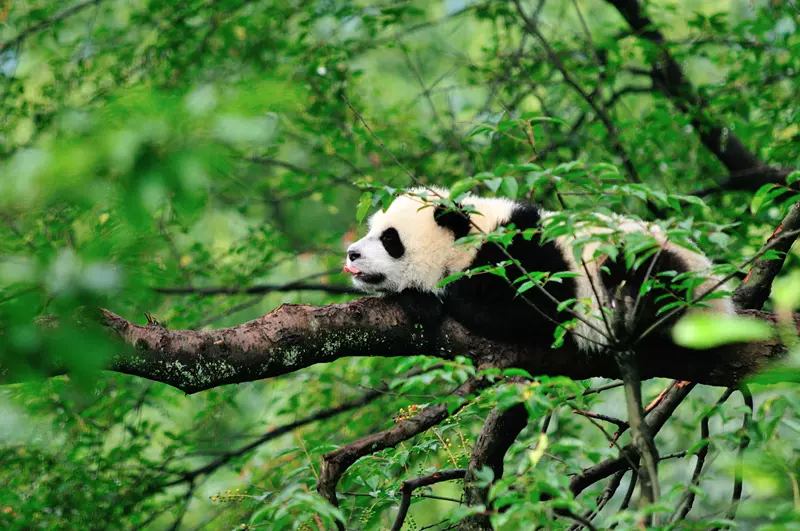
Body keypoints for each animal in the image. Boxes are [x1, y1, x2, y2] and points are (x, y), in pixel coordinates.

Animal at [340, 187, 736, 354]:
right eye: (372, 229)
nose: (352, 253)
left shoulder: (529, 258)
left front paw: (430, 298)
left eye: (390, 239)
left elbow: (530, 312)